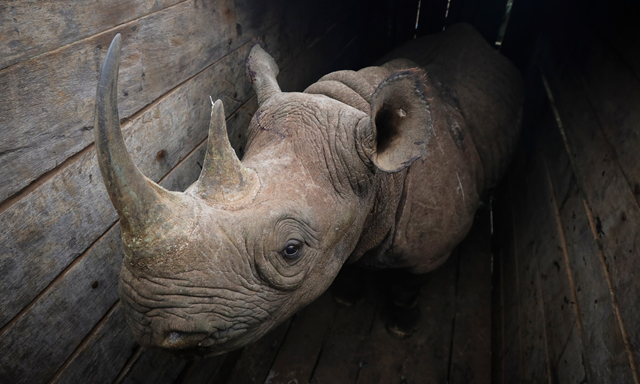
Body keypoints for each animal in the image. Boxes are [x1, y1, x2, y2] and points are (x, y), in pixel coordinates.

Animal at [95, 22, 524, 356]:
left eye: (291, 250)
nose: (154, 327)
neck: (379, 179)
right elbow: (346, 259)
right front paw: (347, 296)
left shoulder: (432, 250)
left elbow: (405, 286)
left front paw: (400, 327)